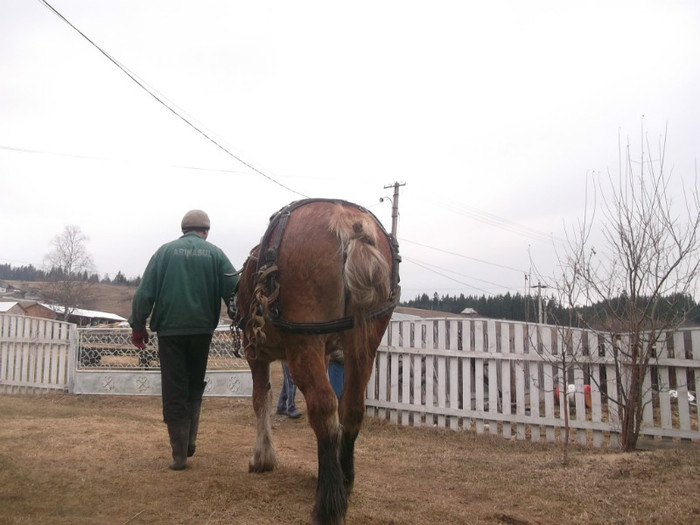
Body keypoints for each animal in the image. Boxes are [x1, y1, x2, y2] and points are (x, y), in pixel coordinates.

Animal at [234, 198, 400, 524]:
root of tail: (348, 223)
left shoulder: (254, 352)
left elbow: (261, 399)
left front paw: (262, 458)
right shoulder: (325, 352)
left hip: (303, 346)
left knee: (323, 408)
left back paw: (329, 504)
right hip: (364, 343)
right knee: (350, 409)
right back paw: (344, 479)